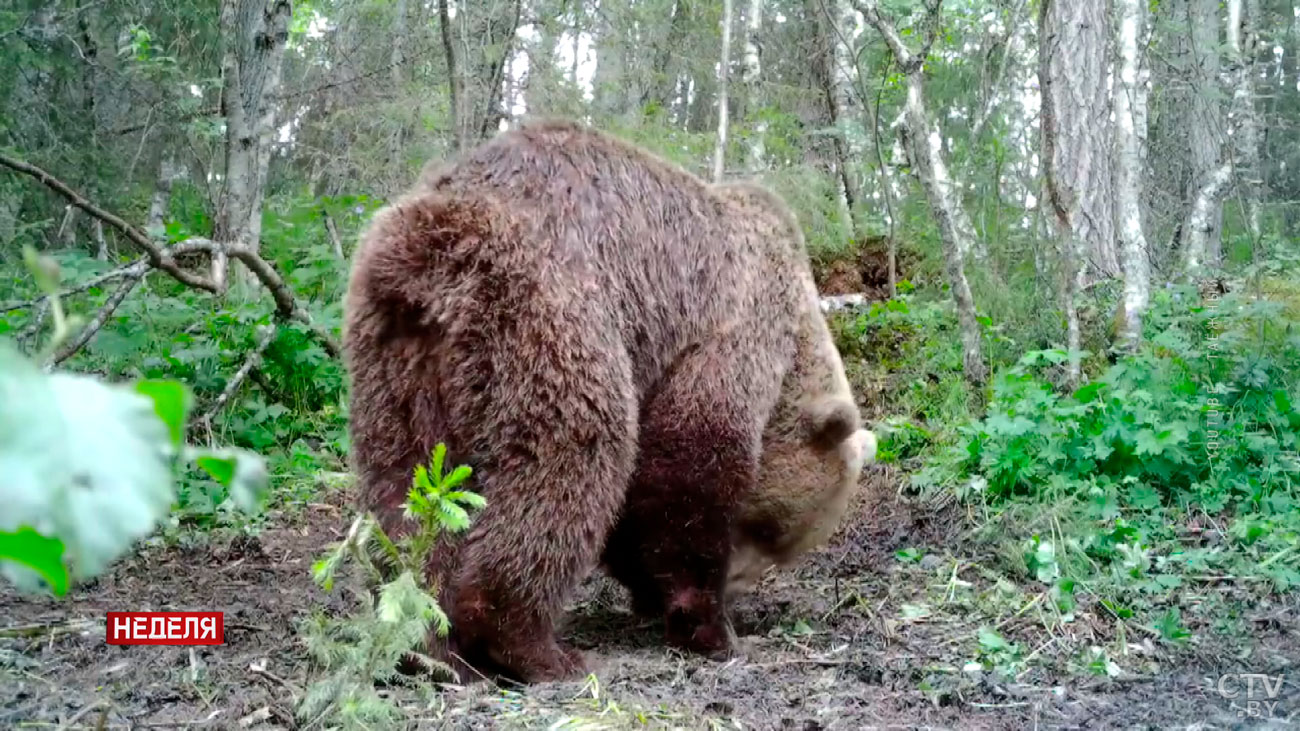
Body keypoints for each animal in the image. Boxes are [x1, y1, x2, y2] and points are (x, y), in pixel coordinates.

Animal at [343, 116, 863, 681]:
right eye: (771, 531)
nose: (738, 586)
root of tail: (428, 253)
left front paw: (655, 594)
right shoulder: (731, 327)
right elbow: (690, 458)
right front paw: (710, 625)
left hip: (394, 363)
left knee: (407, 486)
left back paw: (427, 641)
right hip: (544, 307)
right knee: (570, 460)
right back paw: (534, 646)